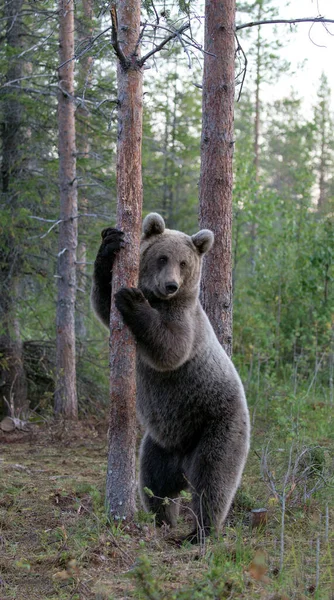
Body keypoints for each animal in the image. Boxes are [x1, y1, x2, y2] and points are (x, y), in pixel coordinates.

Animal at [91, 212, 250, 544]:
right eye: (162, 257)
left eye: (184, 262)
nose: (171, 285)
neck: (159, 300)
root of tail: (183, 462)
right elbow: (102, 303)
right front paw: (109, 244)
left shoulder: (186, 321)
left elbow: (170, 348)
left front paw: (132, 299)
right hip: (160, 445)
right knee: (155, 482)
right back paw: (162, 520)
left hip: (218, 424)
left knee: (212, 480)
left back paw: (200, 532)